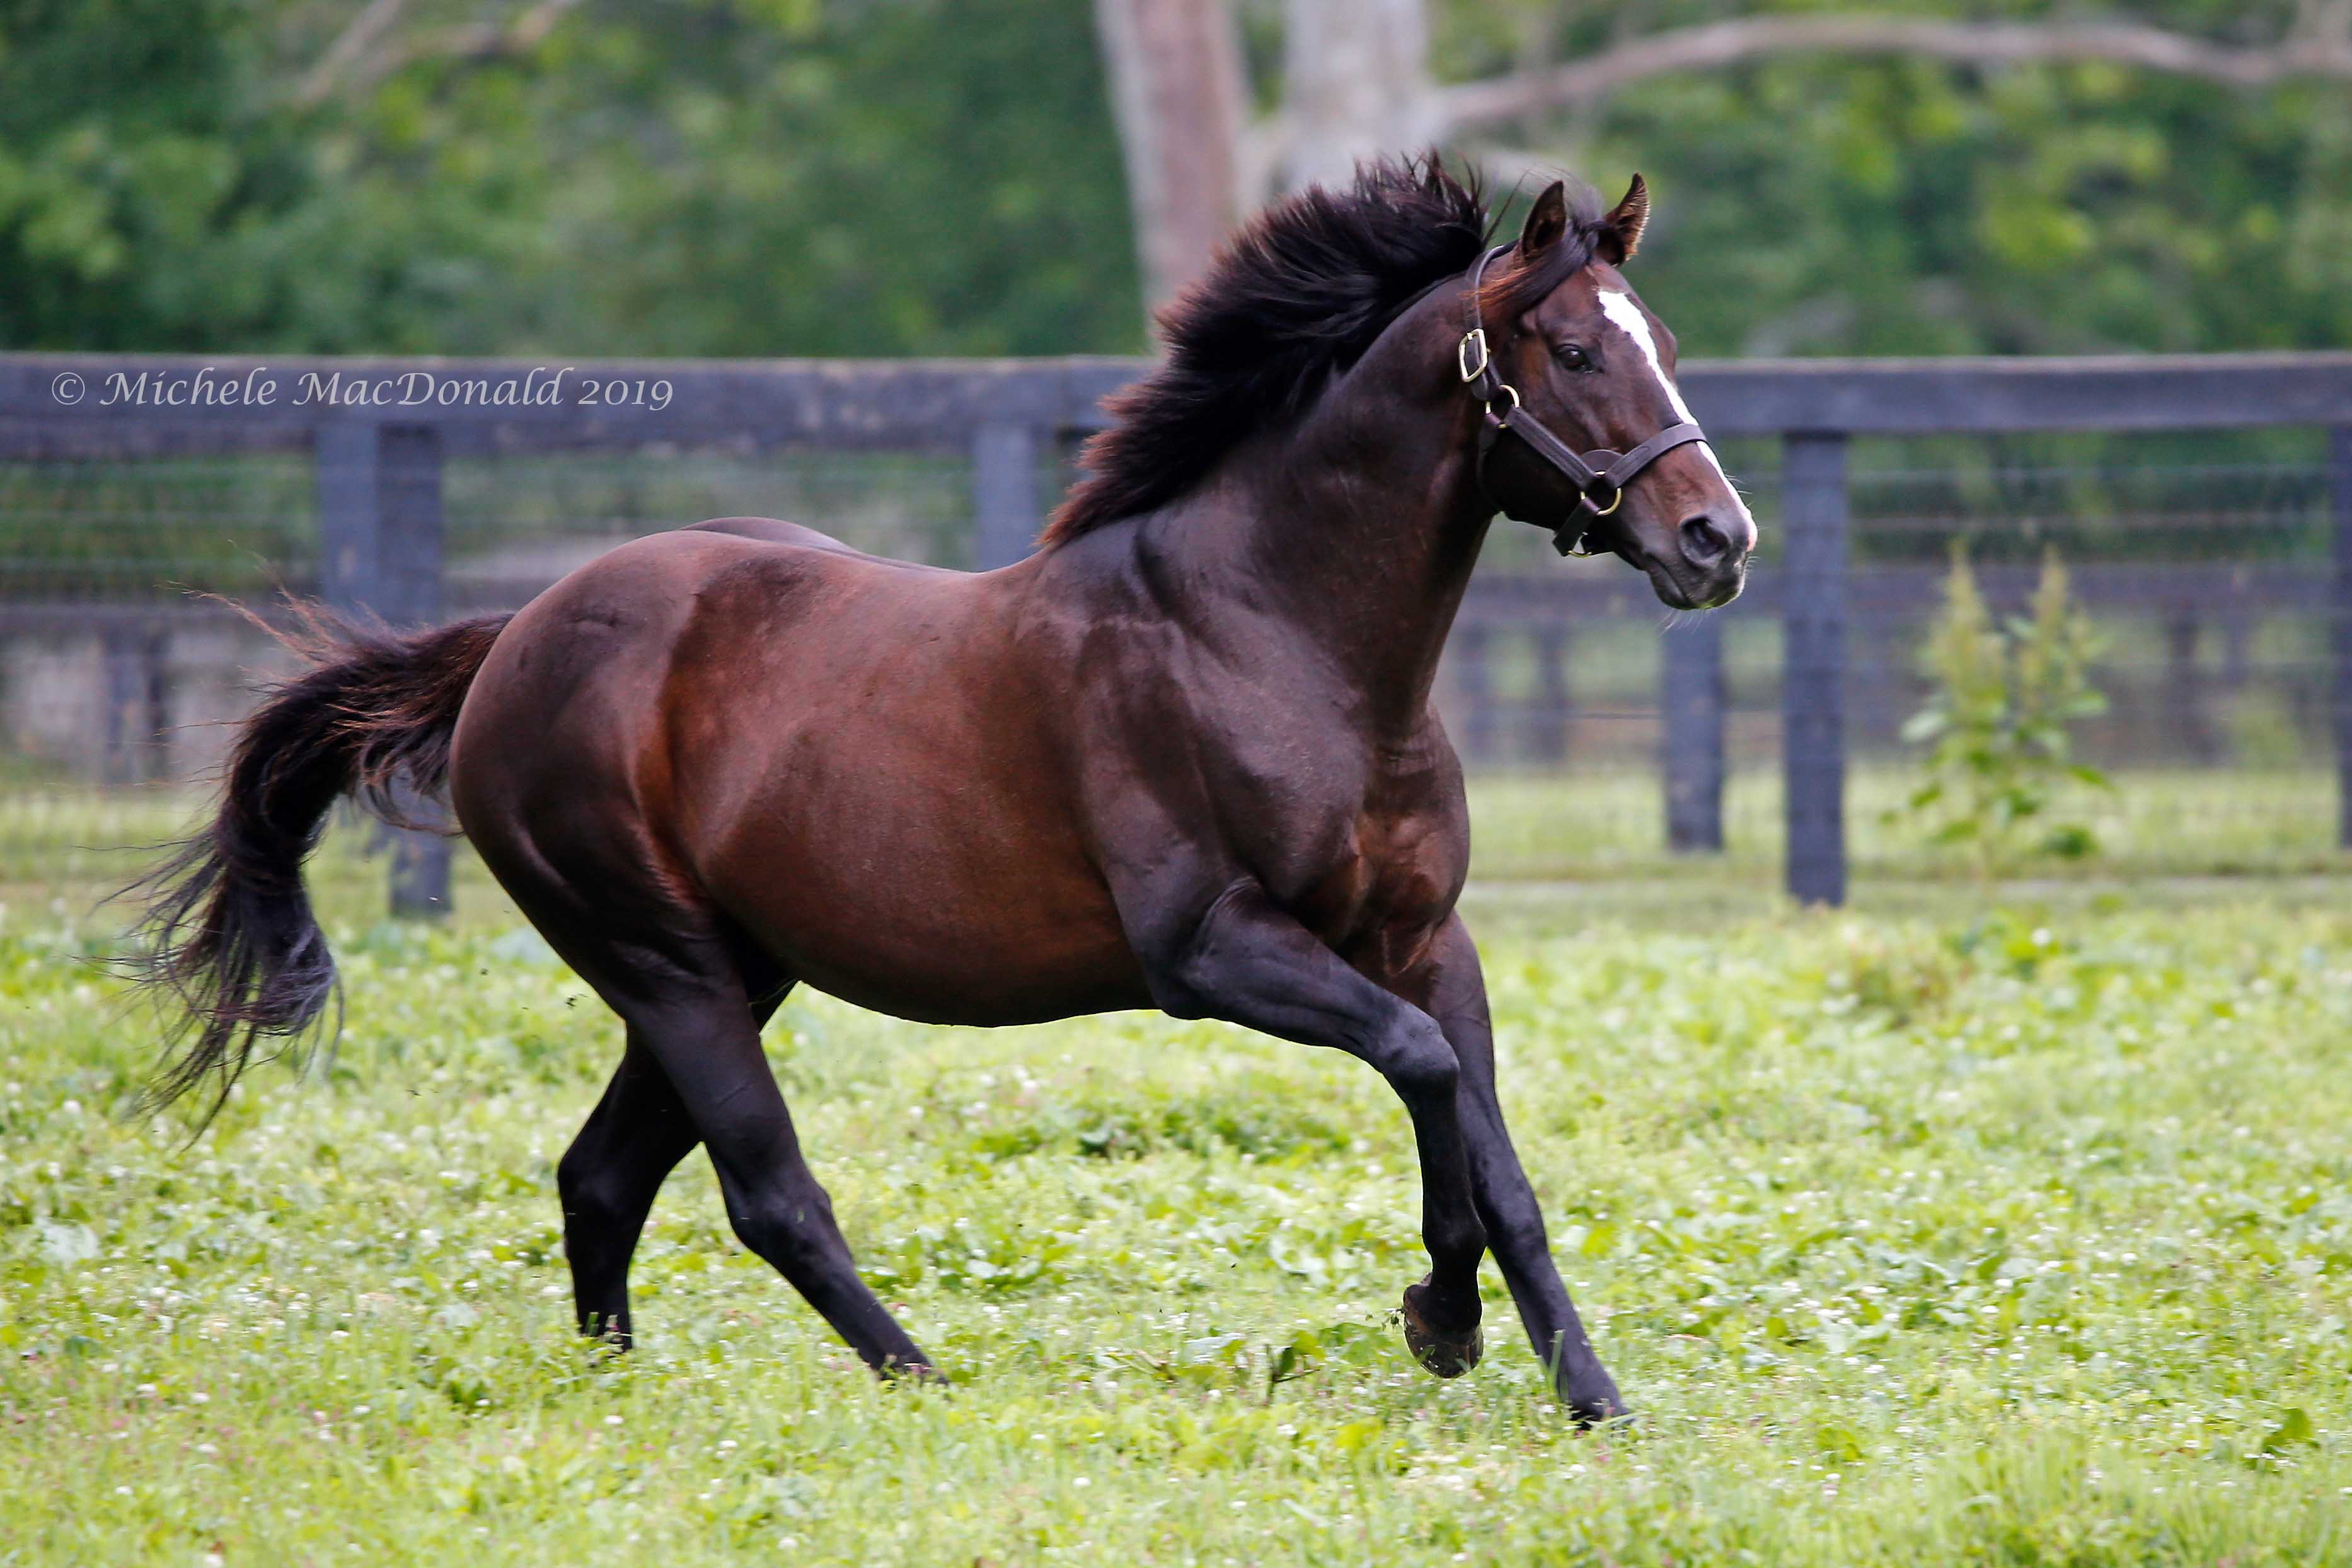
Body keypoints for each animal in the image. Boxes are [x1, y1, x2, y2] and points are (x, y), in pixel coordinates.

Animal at [129, 159, 1750, 1420]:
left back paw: (616, 1388)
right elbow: (1421, 1071)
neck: (1274, 636)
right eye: (1573, 350)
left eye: (1665, 339)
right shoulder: (1212, 949)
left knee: (601, 1176)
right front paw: (1443, 1322)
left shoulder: (1423, 935)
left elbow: (1490, 1143)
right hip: (664, 964)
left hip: (729, 966)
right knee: (765, 1191)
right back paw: (921, 1378)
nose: (1716, 539)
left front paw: (1576, 1384)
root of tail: (514, 638)